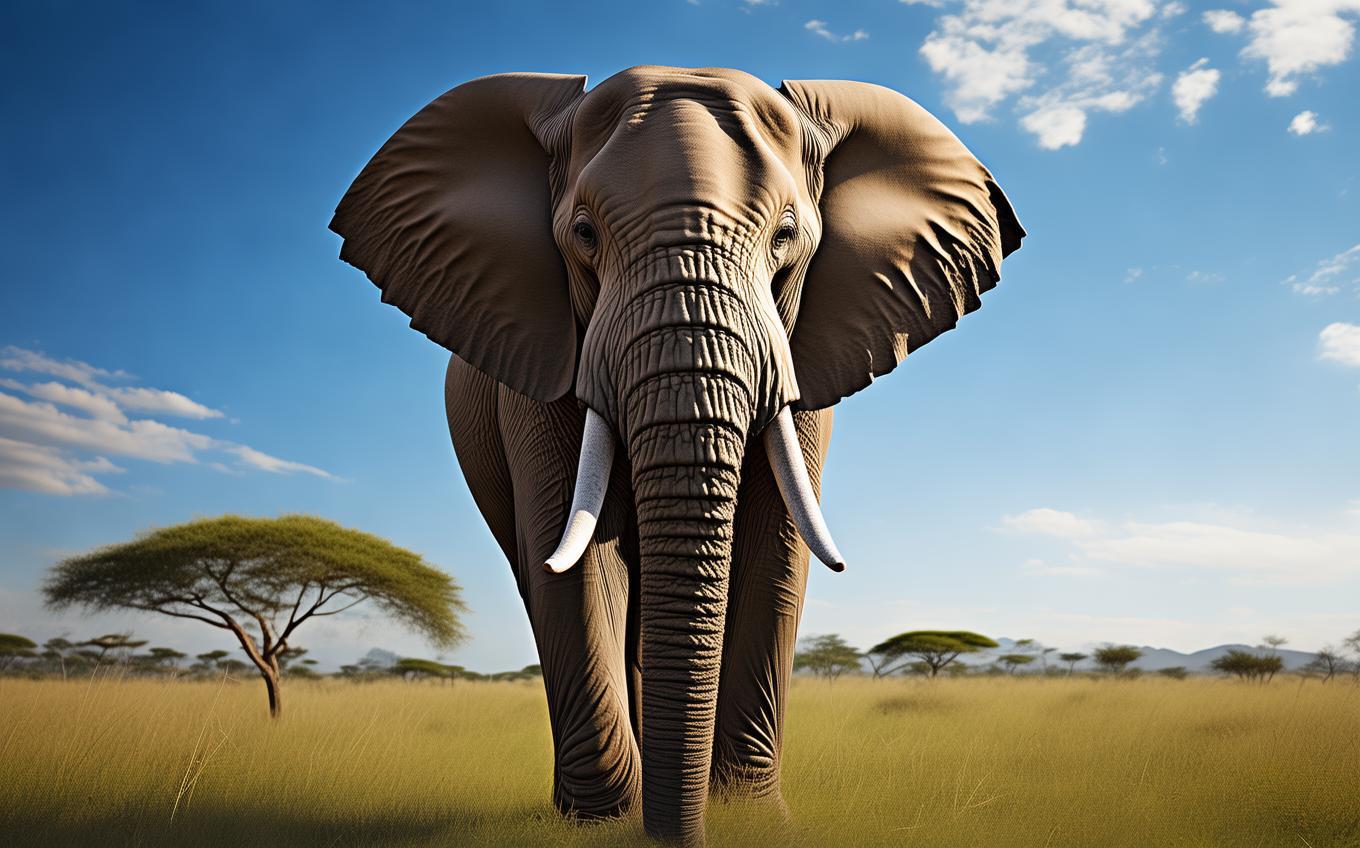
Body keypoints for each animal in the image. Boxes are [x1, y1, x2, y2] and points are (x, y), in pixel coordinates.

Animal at [330, 66, 1023, 845]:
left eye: (787, 235)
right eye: (583, 234)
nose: (674, 834)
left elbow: (776, 551)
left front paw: (751, 819)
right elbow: (575, 563)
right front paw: (600, 827)